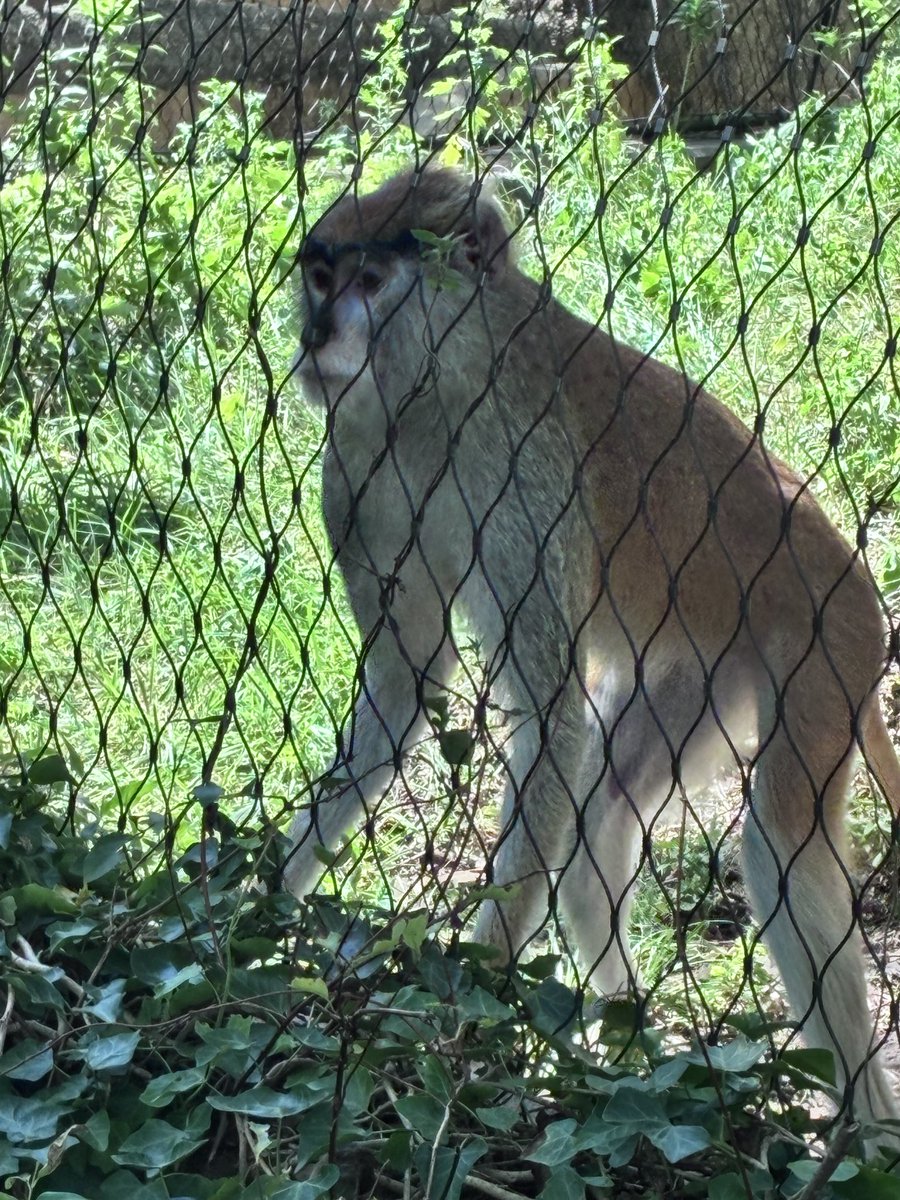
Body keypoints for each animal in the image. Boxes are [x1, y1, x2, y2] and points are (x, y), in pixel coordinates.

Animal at [284, 165, 900, 1142]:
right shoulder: (361, 466)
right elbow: (403, 685)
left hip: (826, 650)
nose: (316, 335)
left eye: (371, 283)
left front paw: (470, 999)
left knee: (781, 849)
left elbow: (548, 710)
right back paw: (628, 1054)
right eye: (318, 277)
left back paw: (865, 1132)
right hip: (700, 662)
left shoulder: (527, 474)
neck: (438, 390)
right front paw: (261, 899)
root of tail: (853, 580)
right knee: (601, 811)